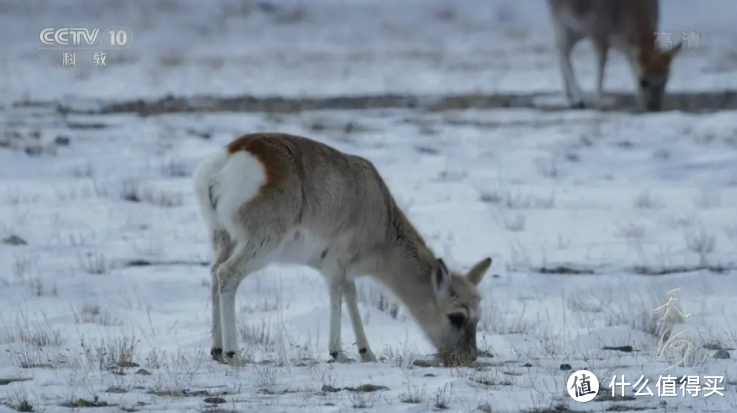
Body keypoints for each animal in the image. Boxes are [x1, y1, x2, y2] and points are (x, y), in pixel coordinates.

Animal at [194, 131, 494, 364]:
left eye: (478, 317)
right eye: (457, 317)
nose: (469, 357)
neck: (382, 214)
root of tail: (235, 152)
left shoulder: (347, 272)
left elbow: (351, 298)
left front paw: (366, 352)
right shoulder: (336, 268)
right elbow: (337, 297)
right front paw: (337, 352)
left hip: (223, 240)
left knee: (214, 275)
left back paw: (217, 350)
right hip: (260, 247)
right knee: (227, 275)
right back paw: (234, 354)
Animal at [544, 0, 680, 110]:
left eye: (665, 79)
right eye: (643, 81)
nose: (654, 107)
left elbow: (632, 65)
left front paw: (639, 103)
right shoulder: (599, 33)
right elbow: (601, 69)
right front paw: (598, 103)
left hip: (575, 30)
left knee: (563, 52)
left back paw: (569, 96)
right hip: (559, 19)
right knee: (562, 52)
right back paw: (578, 100)